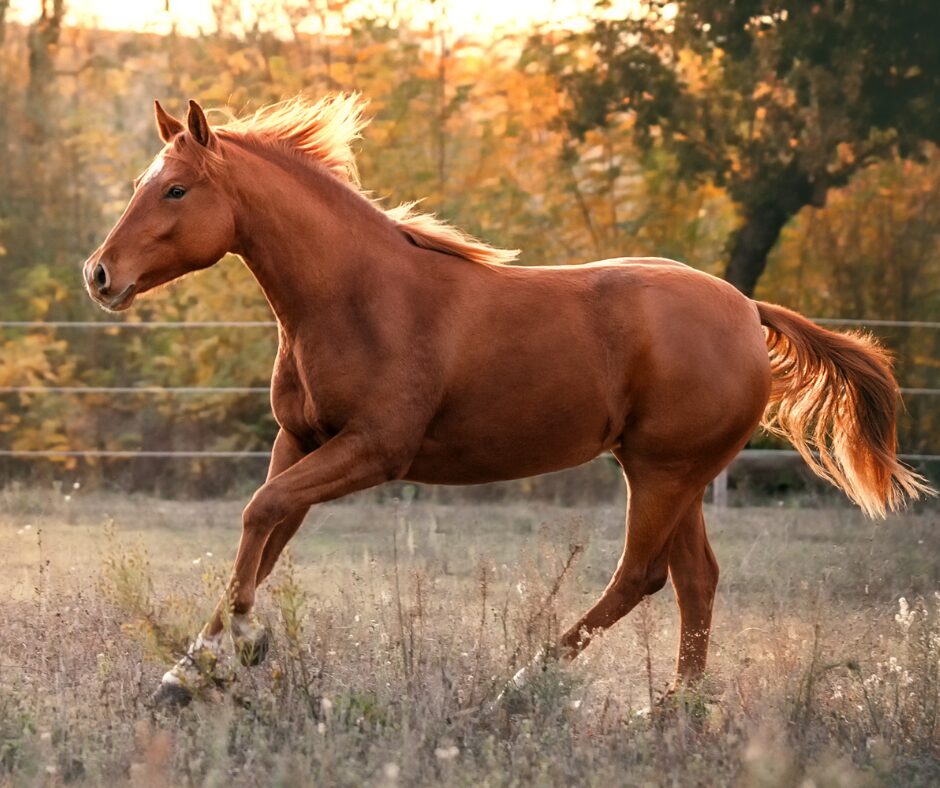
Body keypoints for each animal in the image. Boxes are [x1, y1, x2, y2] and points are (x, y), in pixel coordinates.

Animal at [81, 95, 931, 704]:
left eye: (176, 189)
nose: (100, 275)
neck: (358, 297)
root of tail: (749, 312)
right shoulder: (300, 441)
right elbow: (264, 532)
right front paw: (185, 676)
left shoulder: (375, 451)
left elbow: (261, 515)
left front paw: (238, 650)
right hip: (675, 474)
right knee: (694, 581)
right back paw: (674, 713)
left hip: (663, 472)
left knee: (640, 577)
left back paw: (517, 689)